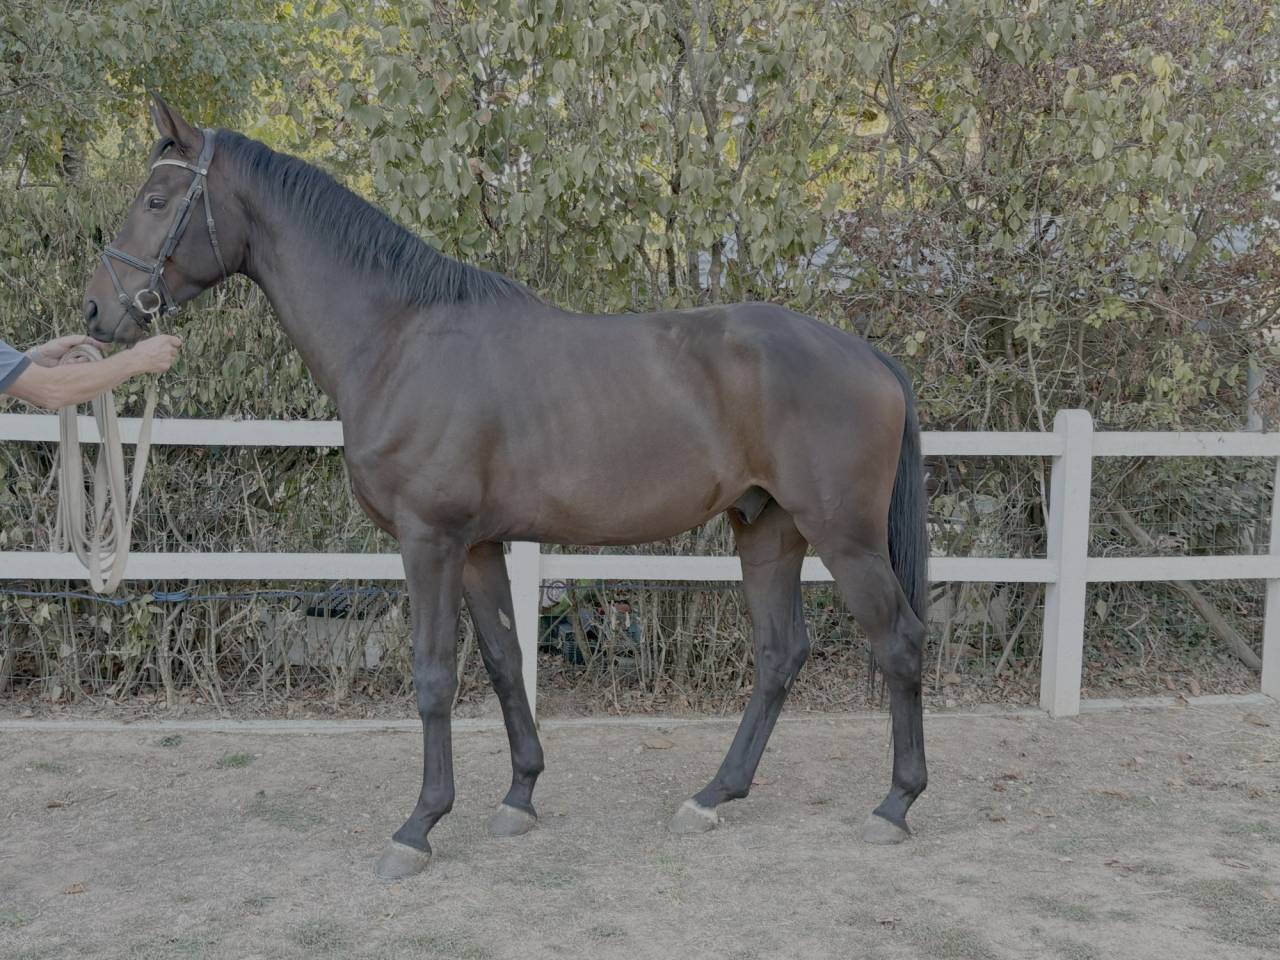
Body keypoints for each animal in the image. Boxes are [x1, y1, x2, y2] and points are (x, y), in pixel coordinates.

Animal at [82, 95, 930, 880]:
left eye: (156, 199)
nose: (97, 311)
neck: (399, 339)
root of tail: (868, 356)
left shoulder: (428, 540)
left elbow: (433, 676)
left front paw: (418, 826)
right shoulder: (480, 545)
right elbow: (502, 660)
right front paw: (519, 796)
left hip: (844, 538)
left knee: (899, 641)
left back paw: (895, 804)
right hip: (767, 531)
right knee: (781, 653)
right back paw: (713, 795)